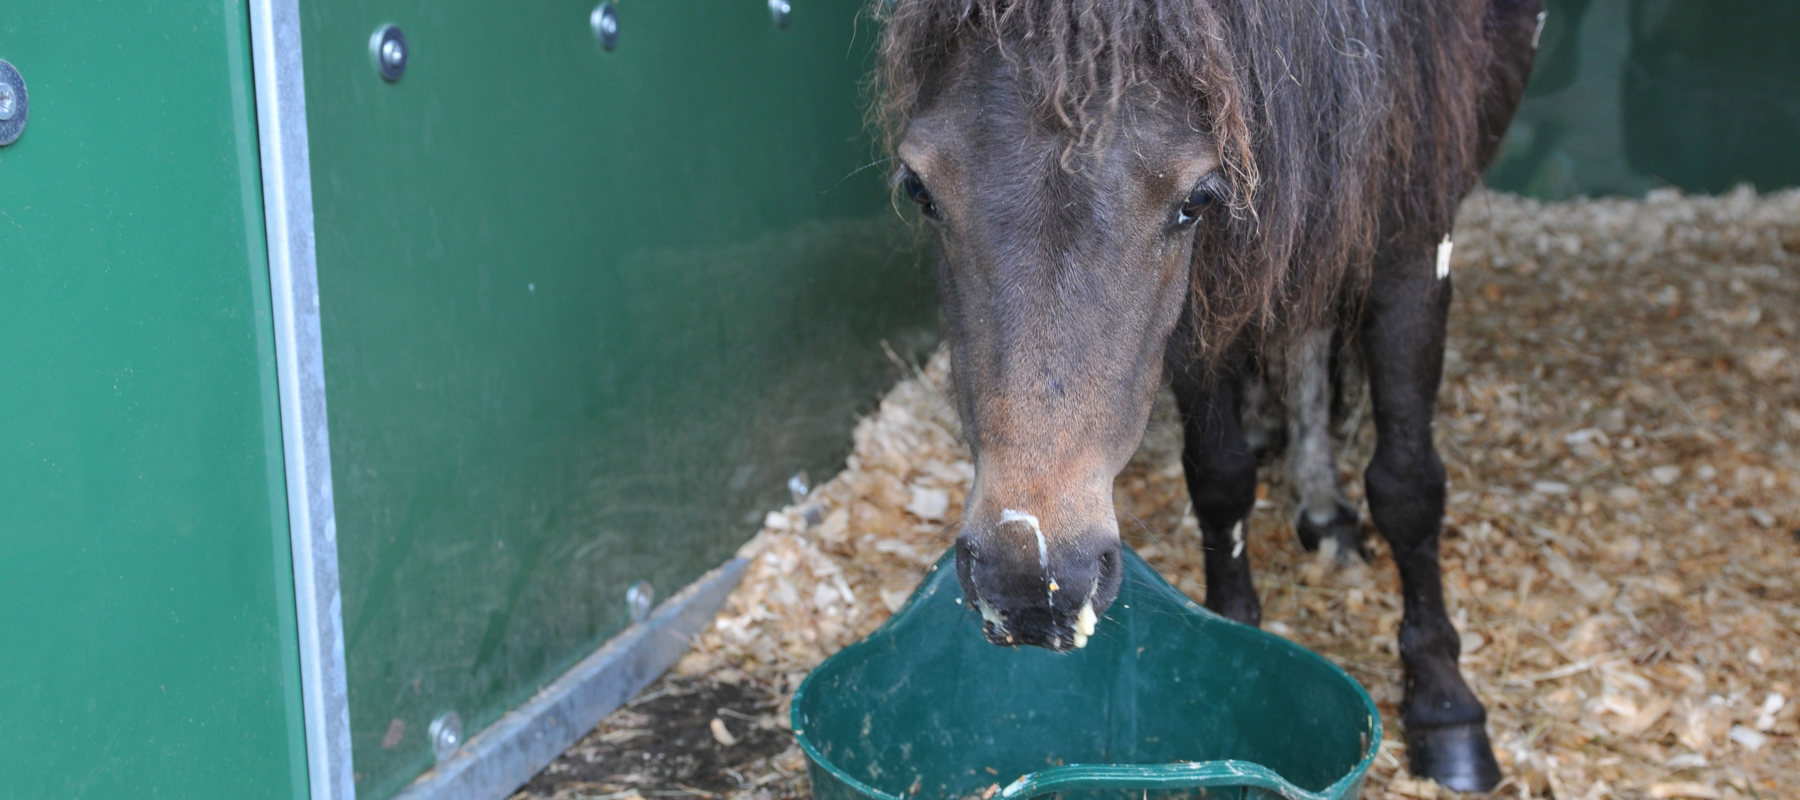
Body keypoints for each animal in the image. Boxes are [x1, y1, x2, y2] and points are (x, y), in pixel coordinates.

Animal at [874, 0, 1548, 789]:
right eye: (919, 189)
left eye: (1196, 199)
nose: (1030, 585)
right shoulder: (1209, 297)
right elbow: (1220, 479)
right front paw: (1236, 636)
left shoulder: (1414, 247)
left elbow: (1407, 487)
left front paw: (1446, 709)